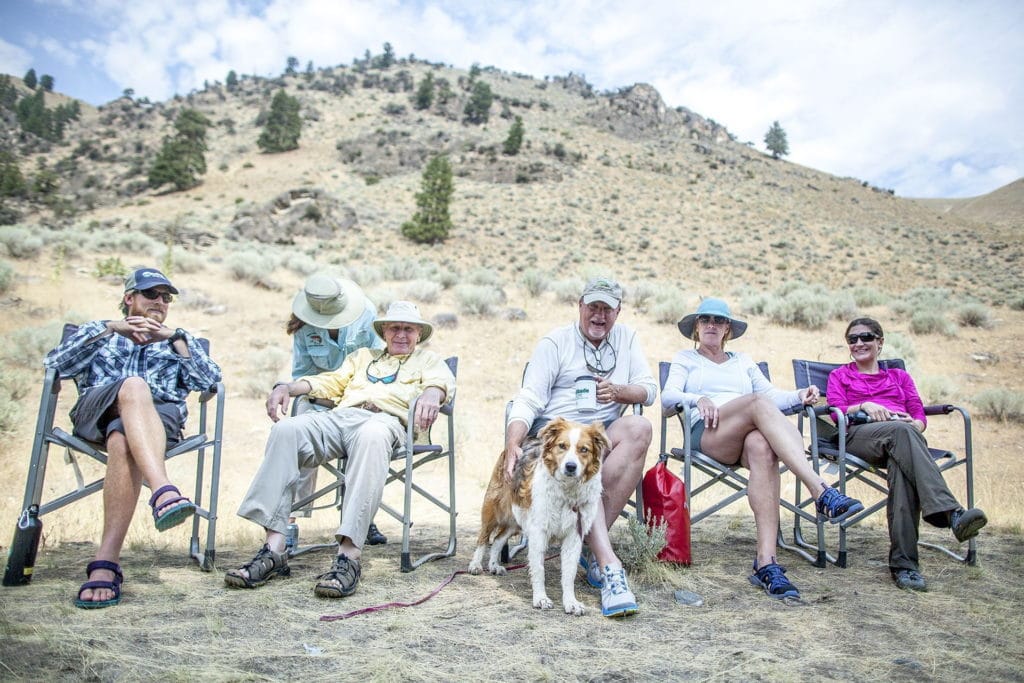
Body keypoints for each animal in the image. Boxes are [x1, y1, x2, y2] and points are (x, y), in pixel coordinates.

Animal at [468, 417, 606, 614]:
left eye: (584, 449)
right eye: (562, 446)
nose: (570, 467)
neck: (568, 490)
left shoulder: (574, 535)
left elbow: (569, 573)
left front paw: (570, 602)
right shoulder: (539, 531)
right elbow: (539, 569)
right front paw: (541, 598)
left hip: (515, 519)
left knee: (498, 540)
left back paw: (494, 565)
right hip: (493, 509)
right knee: (484, 538)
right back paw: (475, 565)